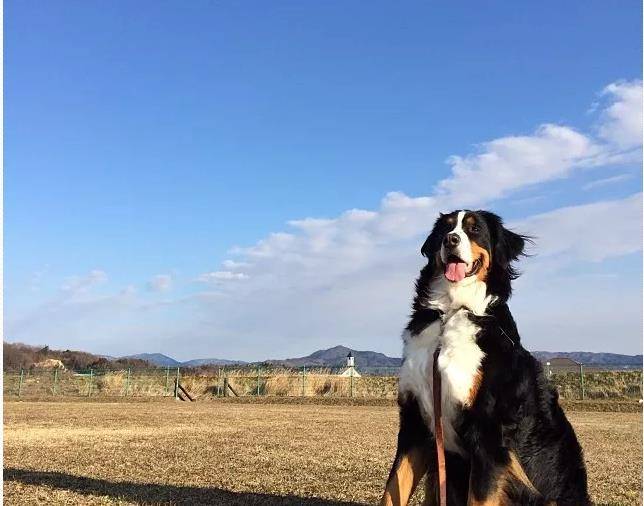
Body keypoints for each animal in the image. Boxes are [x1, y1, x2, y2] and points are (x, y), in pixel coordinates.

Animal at [380, 210, 592, 506]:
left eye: (475, 229)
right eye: (445, 229)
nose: (451, 240)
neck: (451, 312)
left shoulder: (489, 432)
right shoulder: (415, 423)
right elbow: (391, 490)